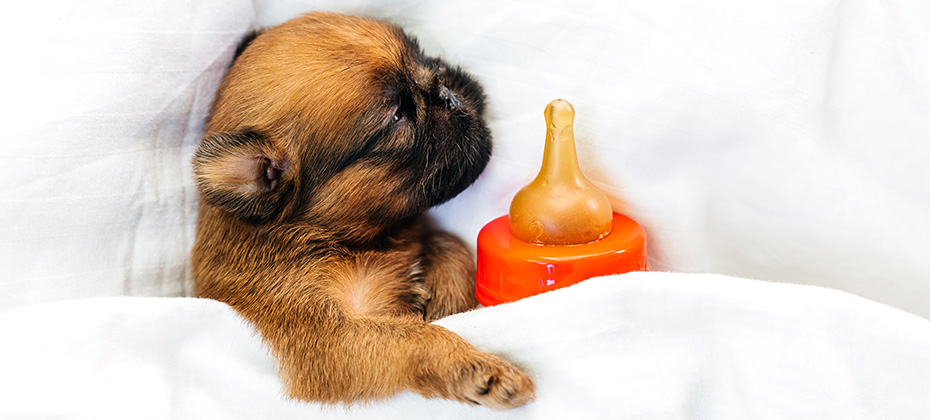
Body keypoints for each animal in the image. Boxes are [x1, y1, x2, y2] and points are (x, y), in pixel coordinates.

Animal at [188, 11, 532, 408]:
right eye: (397, 117)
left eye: (422, 57)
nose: (447, 90)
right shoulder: (332, 338)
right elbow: (416, 338)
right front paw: (479, 368)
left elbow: (449, 243)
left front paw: (447, 299)